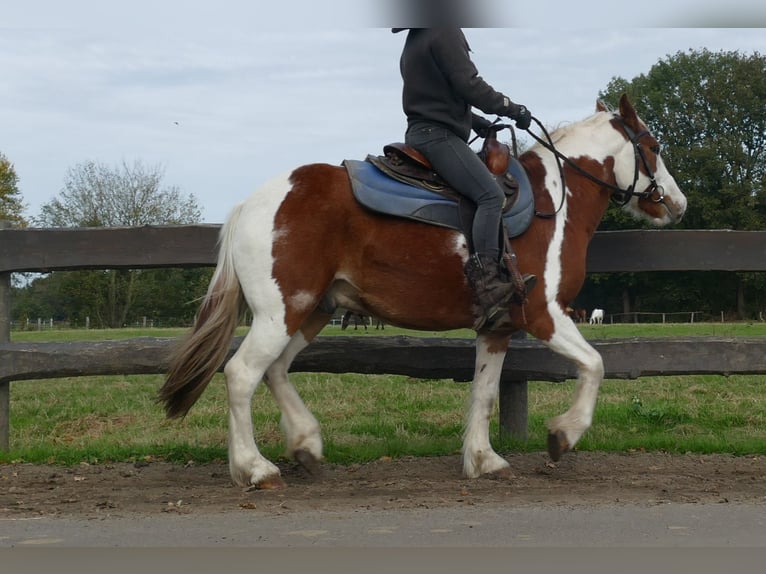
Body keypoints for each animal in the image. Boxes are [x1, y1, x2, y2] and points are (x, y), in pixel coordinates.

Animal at [159, 95, 688, 490]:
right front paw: (562, 435)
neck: (553, 204)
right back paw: (255, 469)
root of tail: (252, 203)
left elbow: (485, 393)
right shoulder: (544, 314)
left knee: (276, 371)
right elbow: (595, 365)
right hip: (279, 313)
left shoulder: (498, 327)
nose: (678, 204)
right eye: (654, 145)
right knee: (242, 374)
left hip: (311, 312)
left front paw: (484, 460)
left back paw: (305, 446)